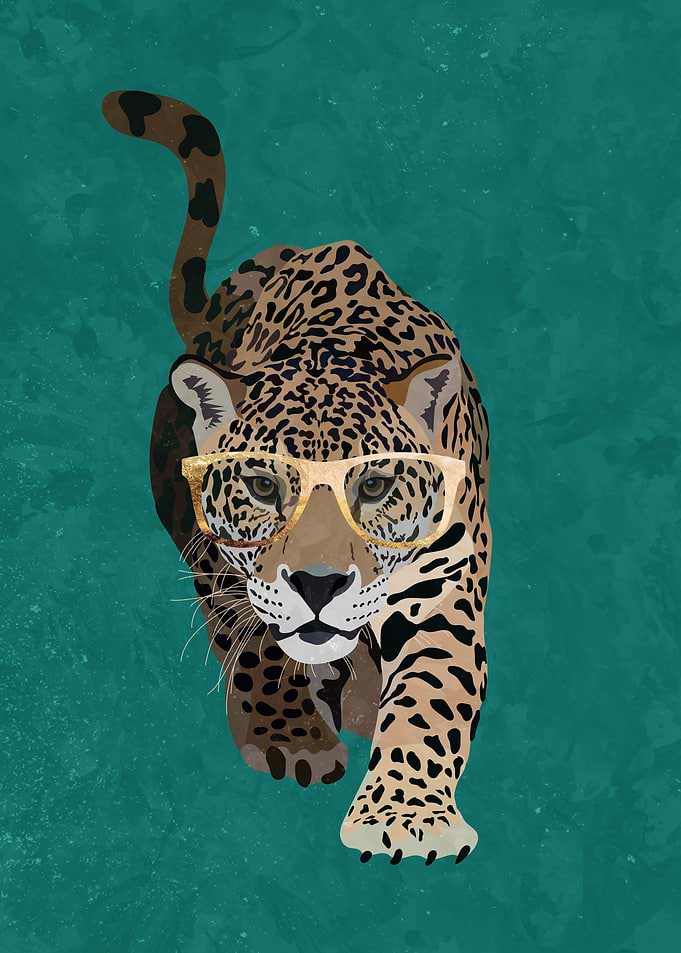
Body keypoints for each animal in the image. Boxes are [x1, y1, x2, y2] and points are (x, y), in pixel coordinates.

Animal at [102, 89, 491, 866]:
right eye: (261, 486)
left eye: (372, 486)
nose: (318, 585)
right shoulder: (221, 558)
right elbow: (255, 639)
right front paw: (291, 736)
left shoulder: (444, 582)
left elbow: (431, 694)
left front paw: (406, 815)